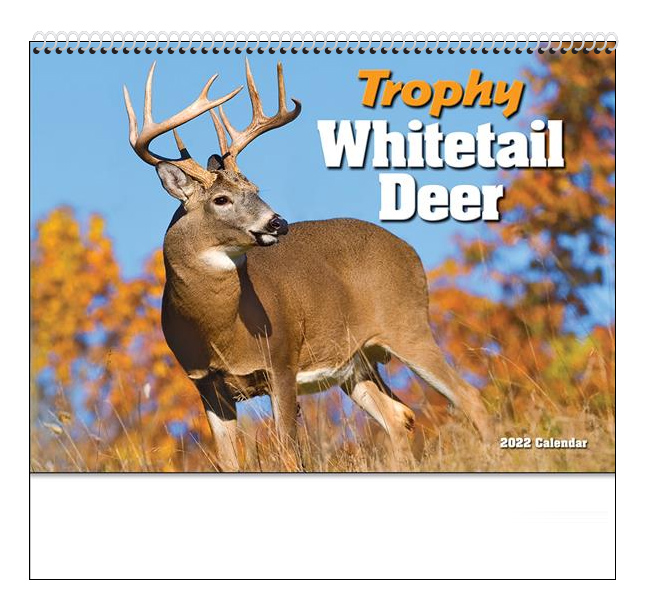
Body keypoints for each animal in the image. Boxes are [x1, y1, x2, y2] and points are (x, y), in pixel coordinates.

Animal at [123, 60, 492, 471]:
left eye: (255, 189)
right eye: (220, 199)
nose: (277, 223)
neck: (218, 330)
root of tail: (411, 253)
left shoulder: (282, 360)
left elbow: (288, 452)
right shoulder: (205, 384)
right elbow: (229, 463)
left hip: (408, 325)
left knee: (469, 398)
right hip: (357, 362)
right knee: (399, 416)